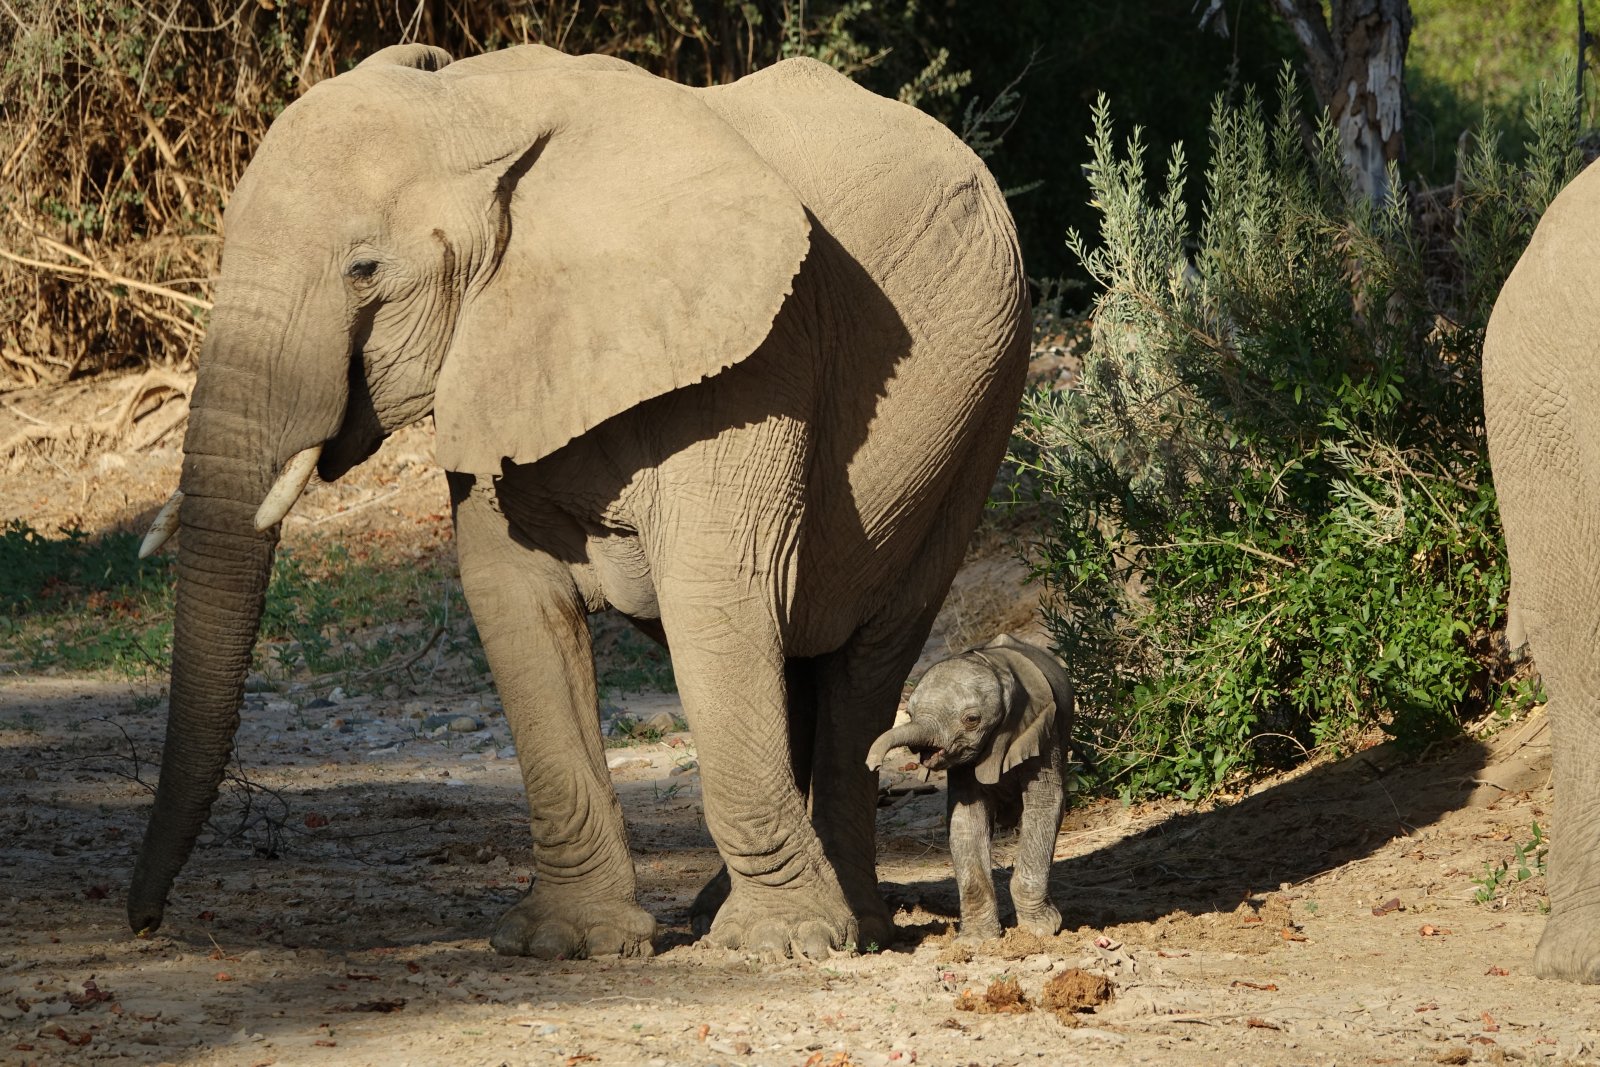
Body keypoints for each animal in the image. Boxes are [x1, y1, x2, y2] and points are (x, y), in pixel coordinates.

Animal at [124, 41, 1024, 966]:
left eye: (363, 269)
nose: (145, 921)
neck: (484, 113)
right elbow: (516, 601)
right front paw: (564, 943)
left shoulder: (757, 359)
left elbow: (716, 595)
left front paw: (788, 941)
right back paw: (727, 908)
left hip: (977, 409)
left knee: (865, 658)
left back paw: (854, 927)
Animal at [864, 633, 1075, 940]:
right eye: (910, 713)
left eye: (972, 719)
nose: (873, 766)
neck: (997, 667)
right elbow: (967, 818)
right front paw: (976, 940)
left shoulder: (1043, 732)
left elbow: (1045, 803)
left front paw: (1042, 929)